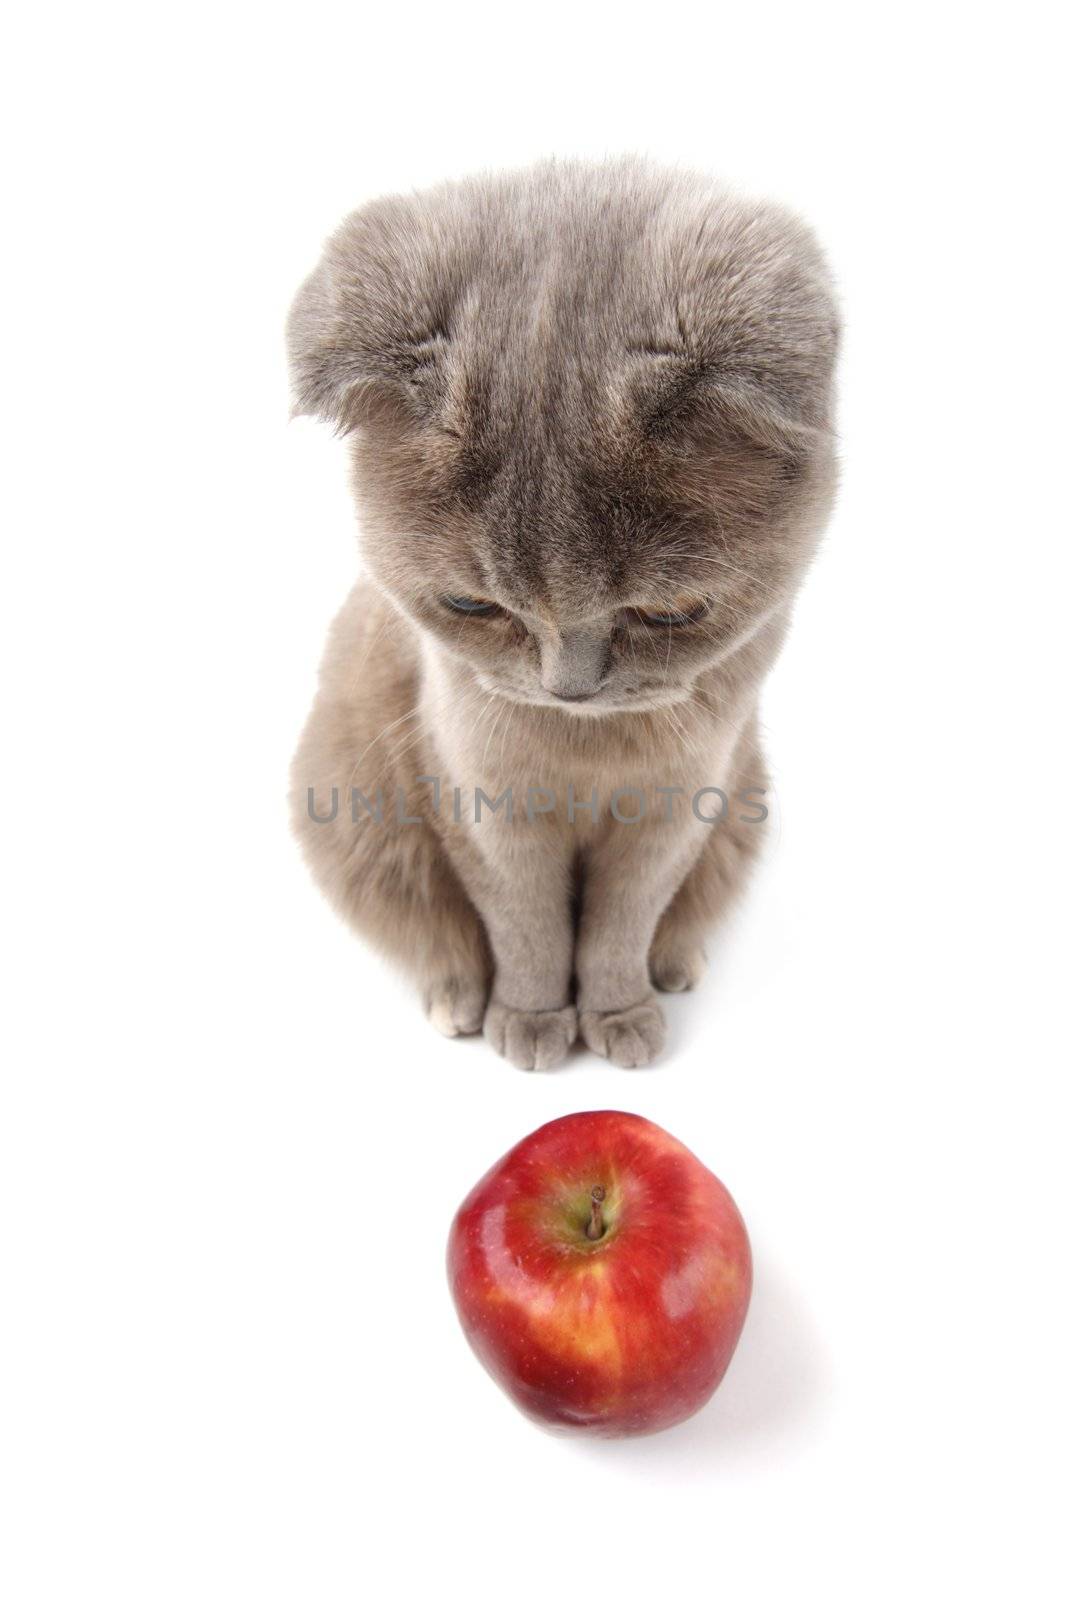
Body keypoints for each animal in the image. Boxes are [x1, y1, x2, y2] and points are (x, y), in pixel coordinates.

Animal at [287, 156, 838, 1068]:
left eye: (668, 612)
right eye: (471, 604)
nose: (567, 687)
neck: (588, 755)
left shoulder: (682, 802)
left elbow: (624, 919)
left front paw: (617, 1014)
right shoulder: (480, 801)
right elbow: (525, 924)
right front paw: (534, 1019)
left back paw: (674, 966)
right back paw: (457, 1000)